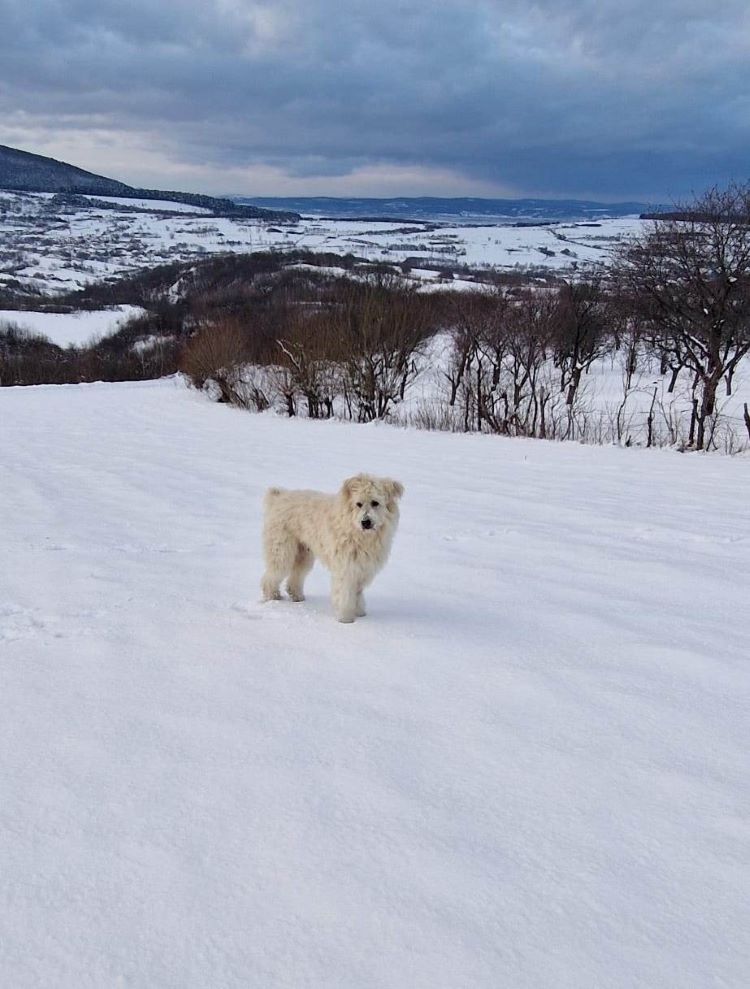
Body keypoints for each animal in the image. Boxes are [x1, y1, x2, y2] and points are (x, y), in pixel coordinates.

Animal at [264, 472, 406, 624]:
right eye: (359, 504)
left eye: (375, 503)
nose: (365, 522)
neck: (357, 532)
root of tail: (279, 497)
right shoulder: (346, 568)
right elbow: (345, 594)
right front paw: (345, 618)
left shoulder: (361, 569)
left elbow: (357, 593)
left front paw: (359, 612)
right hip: (281, 551)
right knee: (271, 576)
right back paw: (272, 596)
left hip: (303, 554)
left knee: (295, 576)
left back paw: (297, 596)